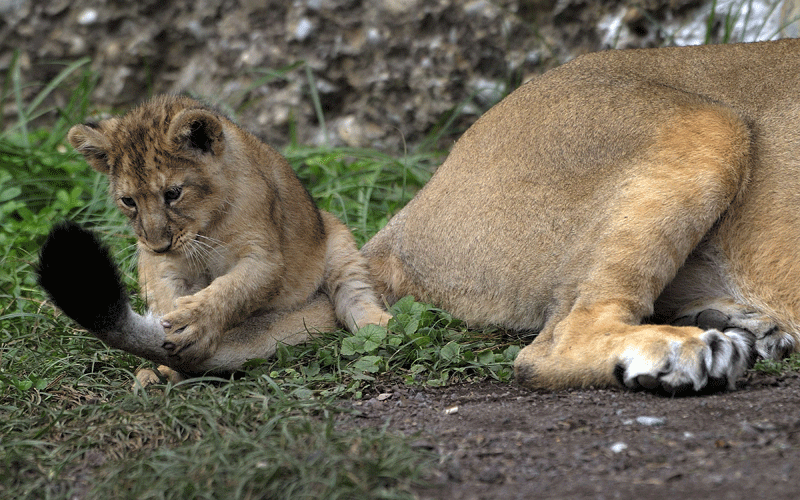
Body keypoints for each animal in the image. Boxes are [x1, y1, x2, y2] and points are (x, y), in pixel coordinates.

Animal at [38, 95, 389, 385]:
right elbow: (168, 298)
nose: (158, 245)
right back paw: (157, 373)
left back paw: (379, 325)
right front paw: (174, 346)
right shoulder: (163, 266)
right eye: (128, 201)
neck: (206, 229)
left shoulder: (264, 257)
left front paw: (196, 324)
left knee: (353, 293)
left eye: (173, 193)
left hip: (335, 235)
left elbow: (234, 290)